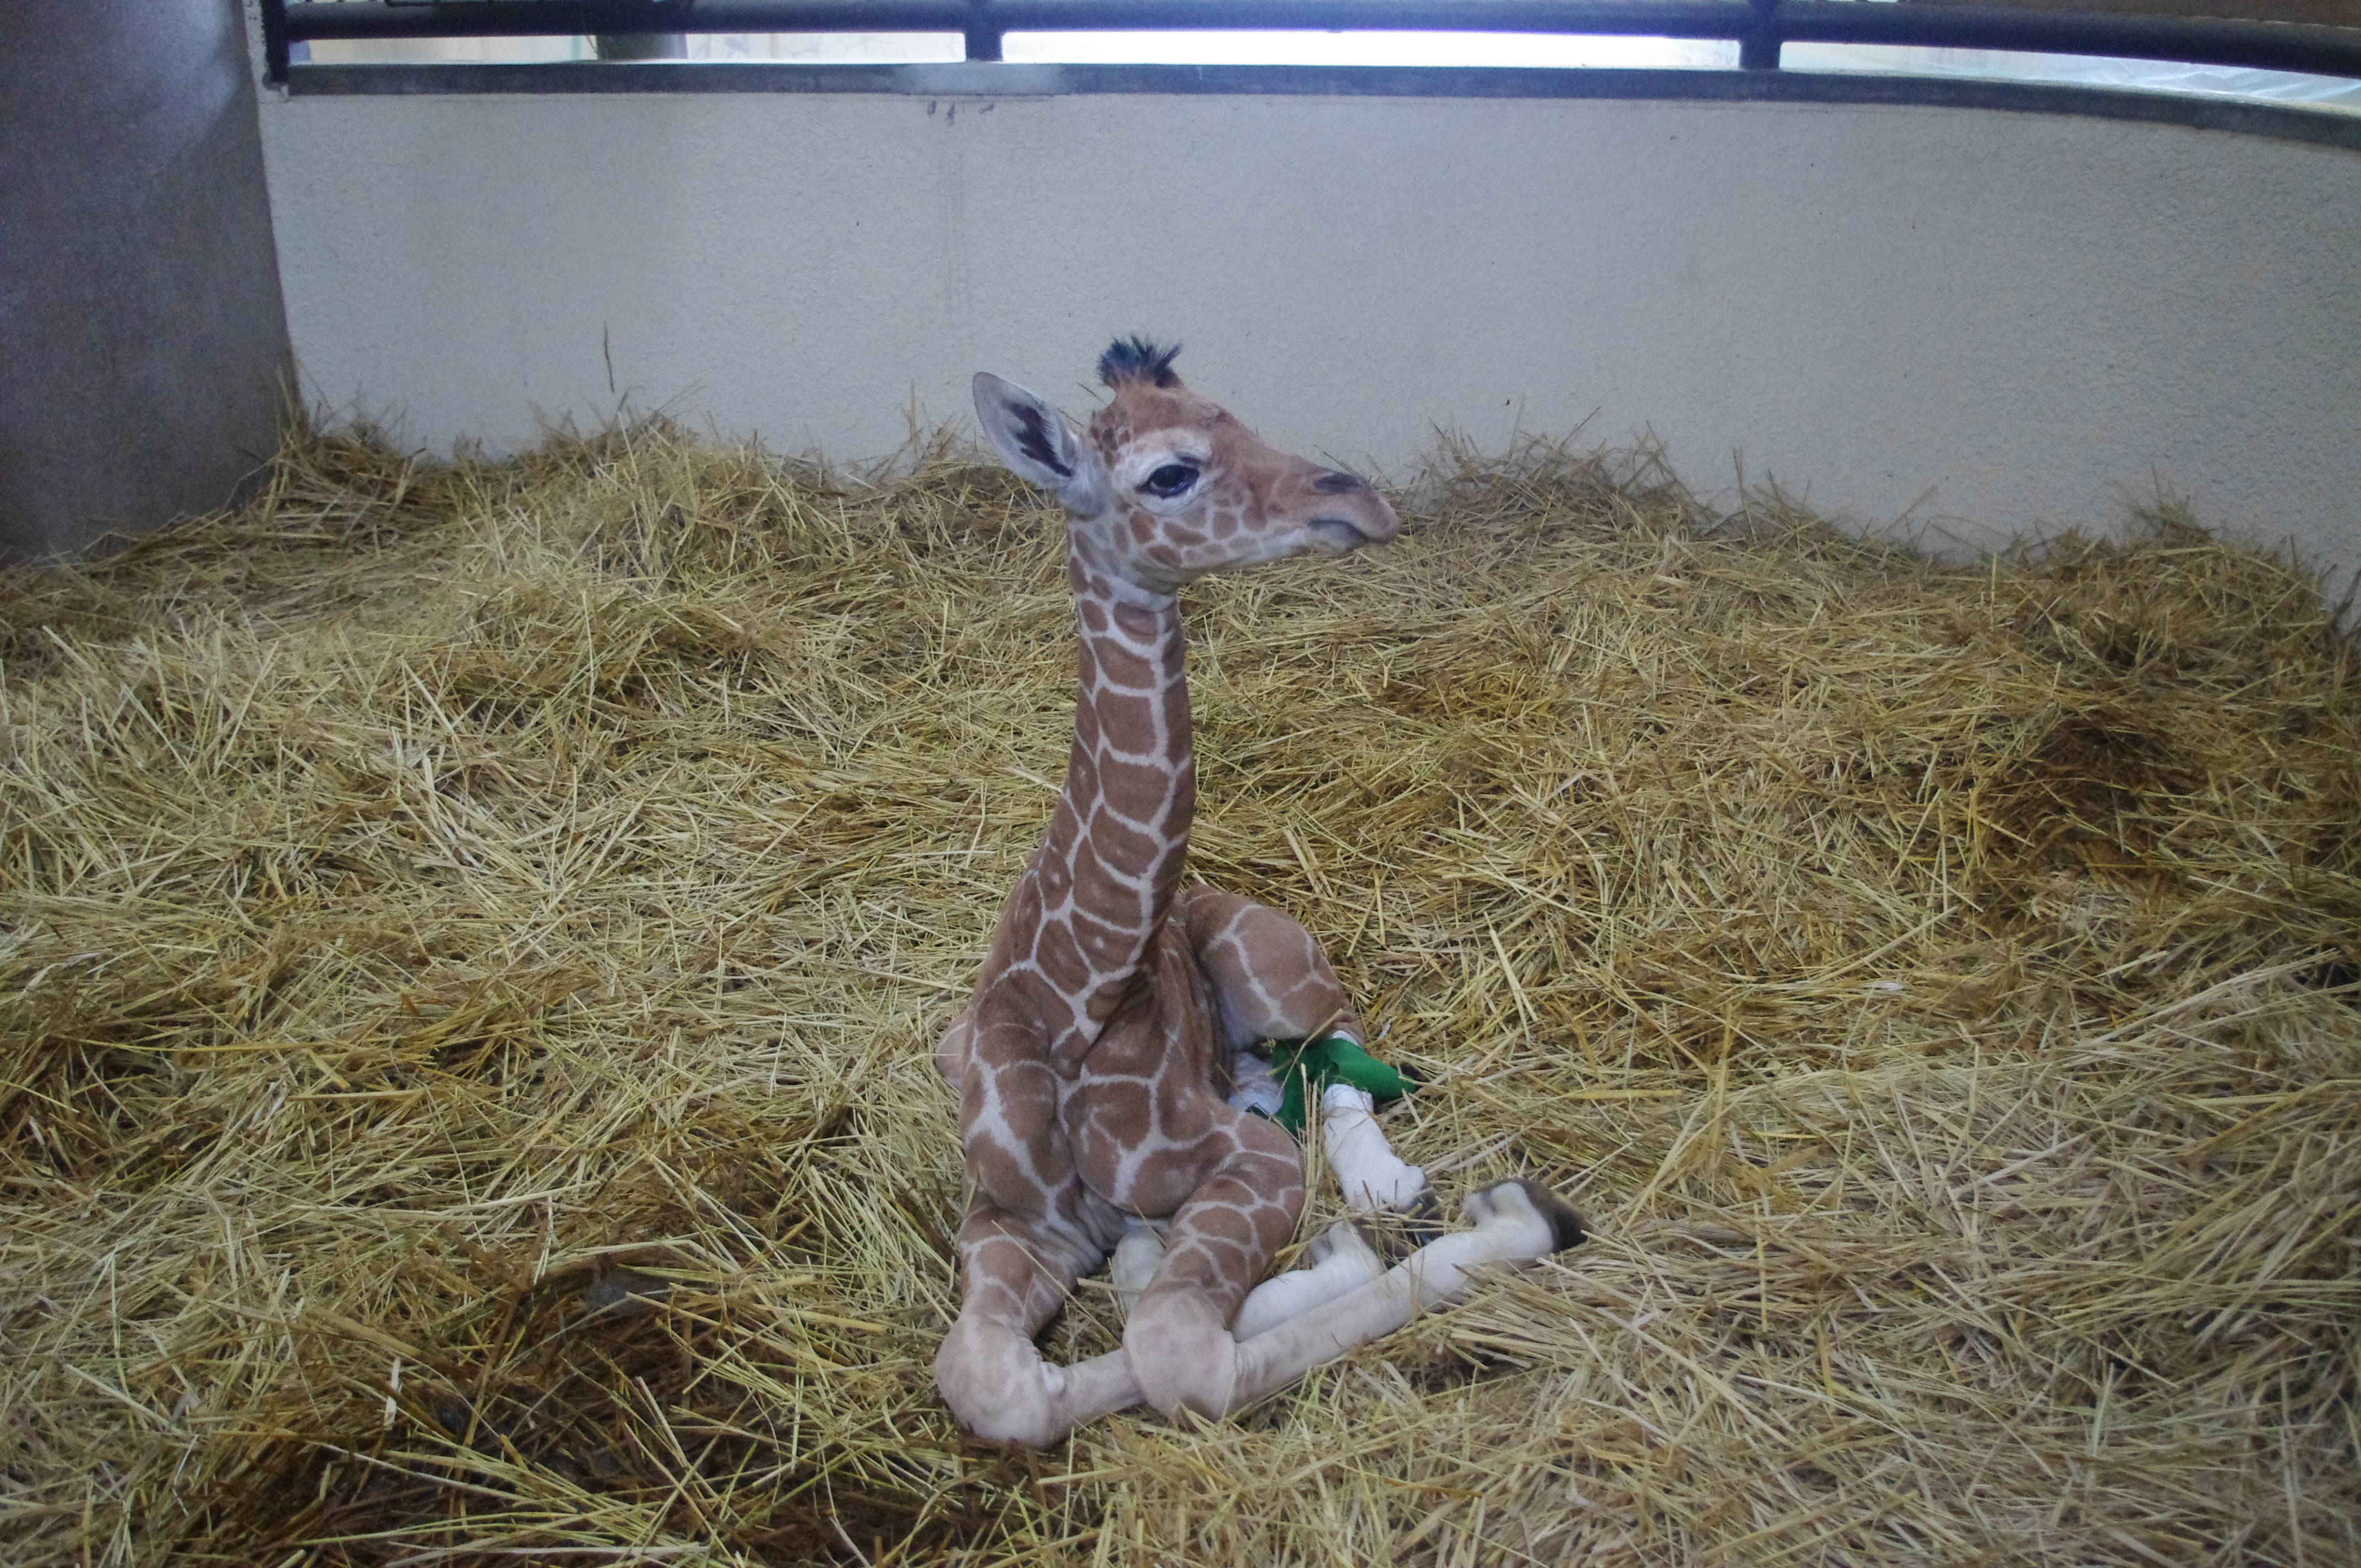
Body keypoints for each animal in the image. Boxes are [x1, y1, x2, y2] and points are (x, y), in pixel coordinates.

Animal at [935, 340, 1586, 1445]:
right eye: (1170, 472)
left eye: (1236, 414)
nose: (1363, 501)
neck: (1075, 995)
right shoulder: (1011, 1218)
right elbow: (992, 1381)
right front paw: (1147, 1259)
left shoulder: (1248, 1161)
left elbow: (1179, 1350)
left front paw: (1382, 1239)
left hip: (1272, 959)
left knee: (1342, 1036)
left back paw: (1386, 1182)